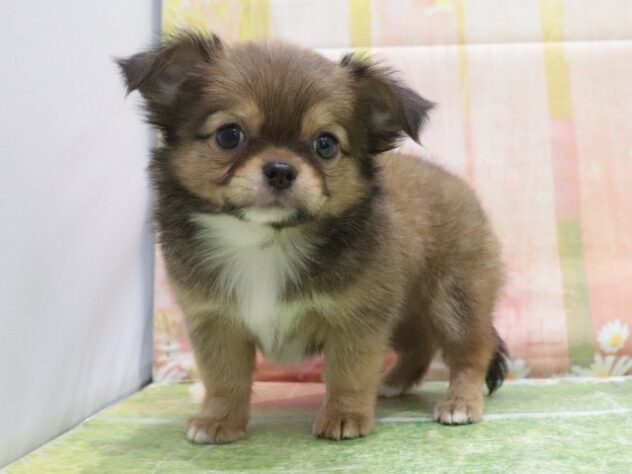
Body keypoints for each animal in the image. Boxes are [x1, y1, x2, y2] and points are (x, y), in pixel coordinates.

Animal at [118, 31, 507, 443]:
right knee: (419, 346)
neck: (266, 240)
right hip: (404, 309)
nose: (280, 169)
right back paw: (394, 382)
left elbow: (347, 373)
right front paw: (219, 420)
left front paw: (344, 416)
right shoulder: (216, 323)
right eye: (228, 135)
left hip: (454, 301)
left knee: (471, 353)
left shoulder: (356, 321)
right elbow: (225, 379)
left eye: (325, 144)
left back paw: (460, 402)